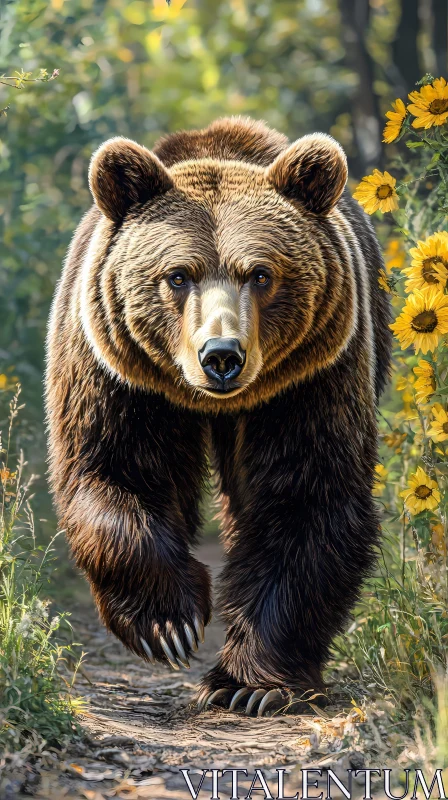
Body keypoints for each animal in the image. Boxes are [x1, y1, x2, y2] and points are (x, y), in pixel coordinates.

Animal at [43, 117, 390, 720]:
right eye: (178, 275)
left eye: (260, 274)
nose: (221, 355)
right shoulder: (118, 372)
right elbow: (115, 470)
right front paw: (169, 625)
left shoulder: (309, 379)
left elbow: (306, 497)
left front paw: (251, 683)